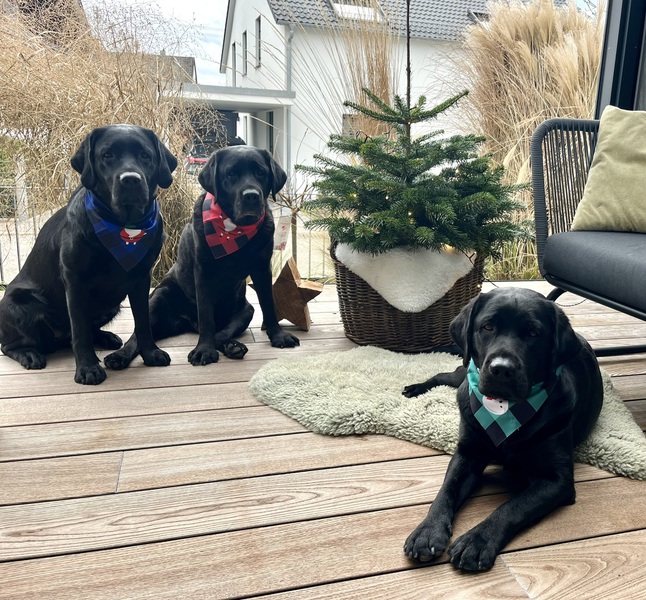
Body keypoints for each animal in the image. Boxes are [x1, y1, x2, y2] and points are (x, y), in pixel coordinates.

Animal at [0, 124, 177, 384]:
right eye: (107, 155)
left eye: (145, 155)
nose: (131, 180)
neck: (124, 225)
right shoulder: (75, 281)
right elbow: (80, 330)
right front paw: (87, 368)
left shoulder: (141, 277)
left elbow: (143, 321)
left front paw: (150, 353)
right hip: (20, 305)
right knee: (10, 346)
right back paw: (29, 355)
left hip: (111, 306)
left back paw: (105, 337)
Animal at [105, 145, 299, 370]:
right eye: (230, 174)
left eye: (261, 172)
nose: (251, 196)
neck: (233, 230)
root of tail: (189, 321)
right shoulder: (204, 271)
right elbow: (206, 315)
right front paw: (204, 350)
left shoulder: (262, 269)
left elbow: (268, 304)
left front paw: (278, 336)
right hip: (158, 299)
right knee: (138, 335)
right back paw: (119, 355)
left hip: (246, 310)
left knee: (222, 332)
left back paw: (232, 346)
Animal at [402, 287, 603, 571]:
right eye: (487, 326)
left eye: (533, 333)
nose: (501, 369)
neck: (504, 411)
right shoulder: (468, 453)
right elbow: (446, 490)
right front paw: (427, 531)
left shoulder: (557, 480)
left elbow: (513, 506)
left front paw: (476, 541)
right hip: (464, 374)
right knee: (443, 375)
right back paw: (416, 387)